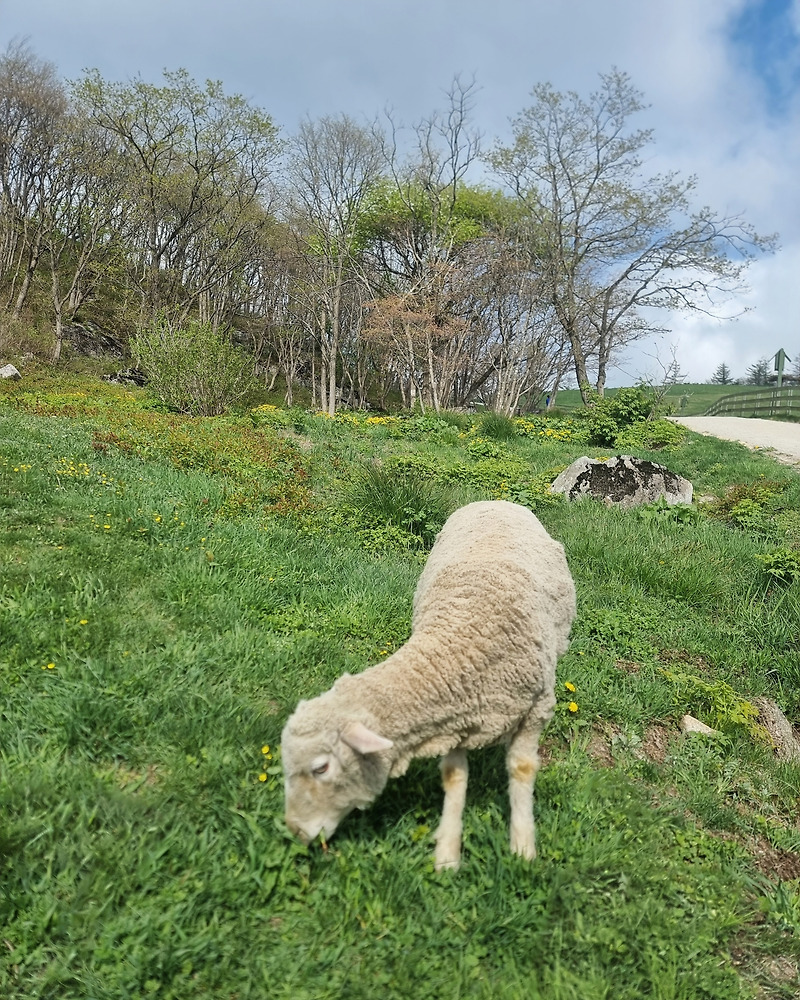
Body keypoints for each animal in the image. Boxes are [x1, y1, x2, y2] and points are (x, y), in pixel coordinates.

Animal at [282, 500, 576, 868]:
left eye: (321, 768)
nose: (295, 832)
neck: (460, 641)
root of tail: (494, 500)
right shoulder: (455, 715)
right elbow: (454, 777)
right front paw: (447, 855)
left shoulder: (535, 709)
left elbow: (522, 769)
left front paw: (522, 849)